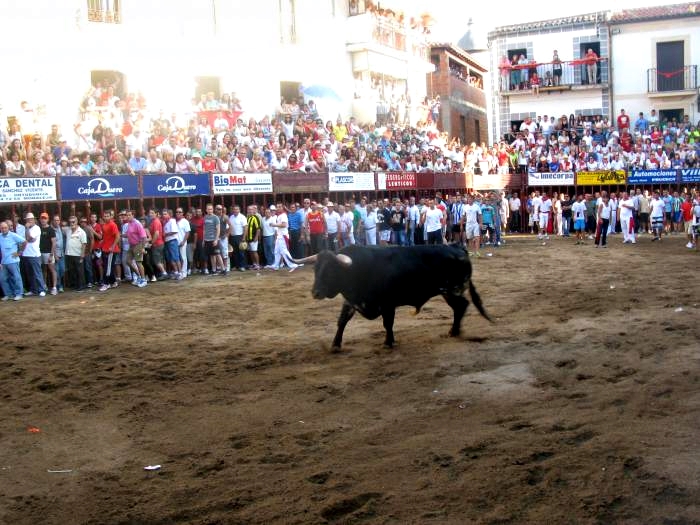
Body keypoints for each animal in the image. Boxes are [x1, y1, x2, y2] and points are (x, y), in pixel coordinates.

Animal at [296, 244, 492, 350]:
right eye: (315, 269)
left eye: (331, 270)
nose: (315, 293)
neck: (357, 269)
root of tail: (456, 246)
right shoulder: (351, 302)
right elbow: (342, 321)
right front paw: (335, 345)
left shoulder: (388, 303)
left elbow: (387, 323)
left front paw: (388, 342)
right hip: (447, 292)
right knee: (459, 307)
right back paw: (453, 331)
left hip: (452, 289)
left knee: (463, 305)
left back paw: (455, 331)